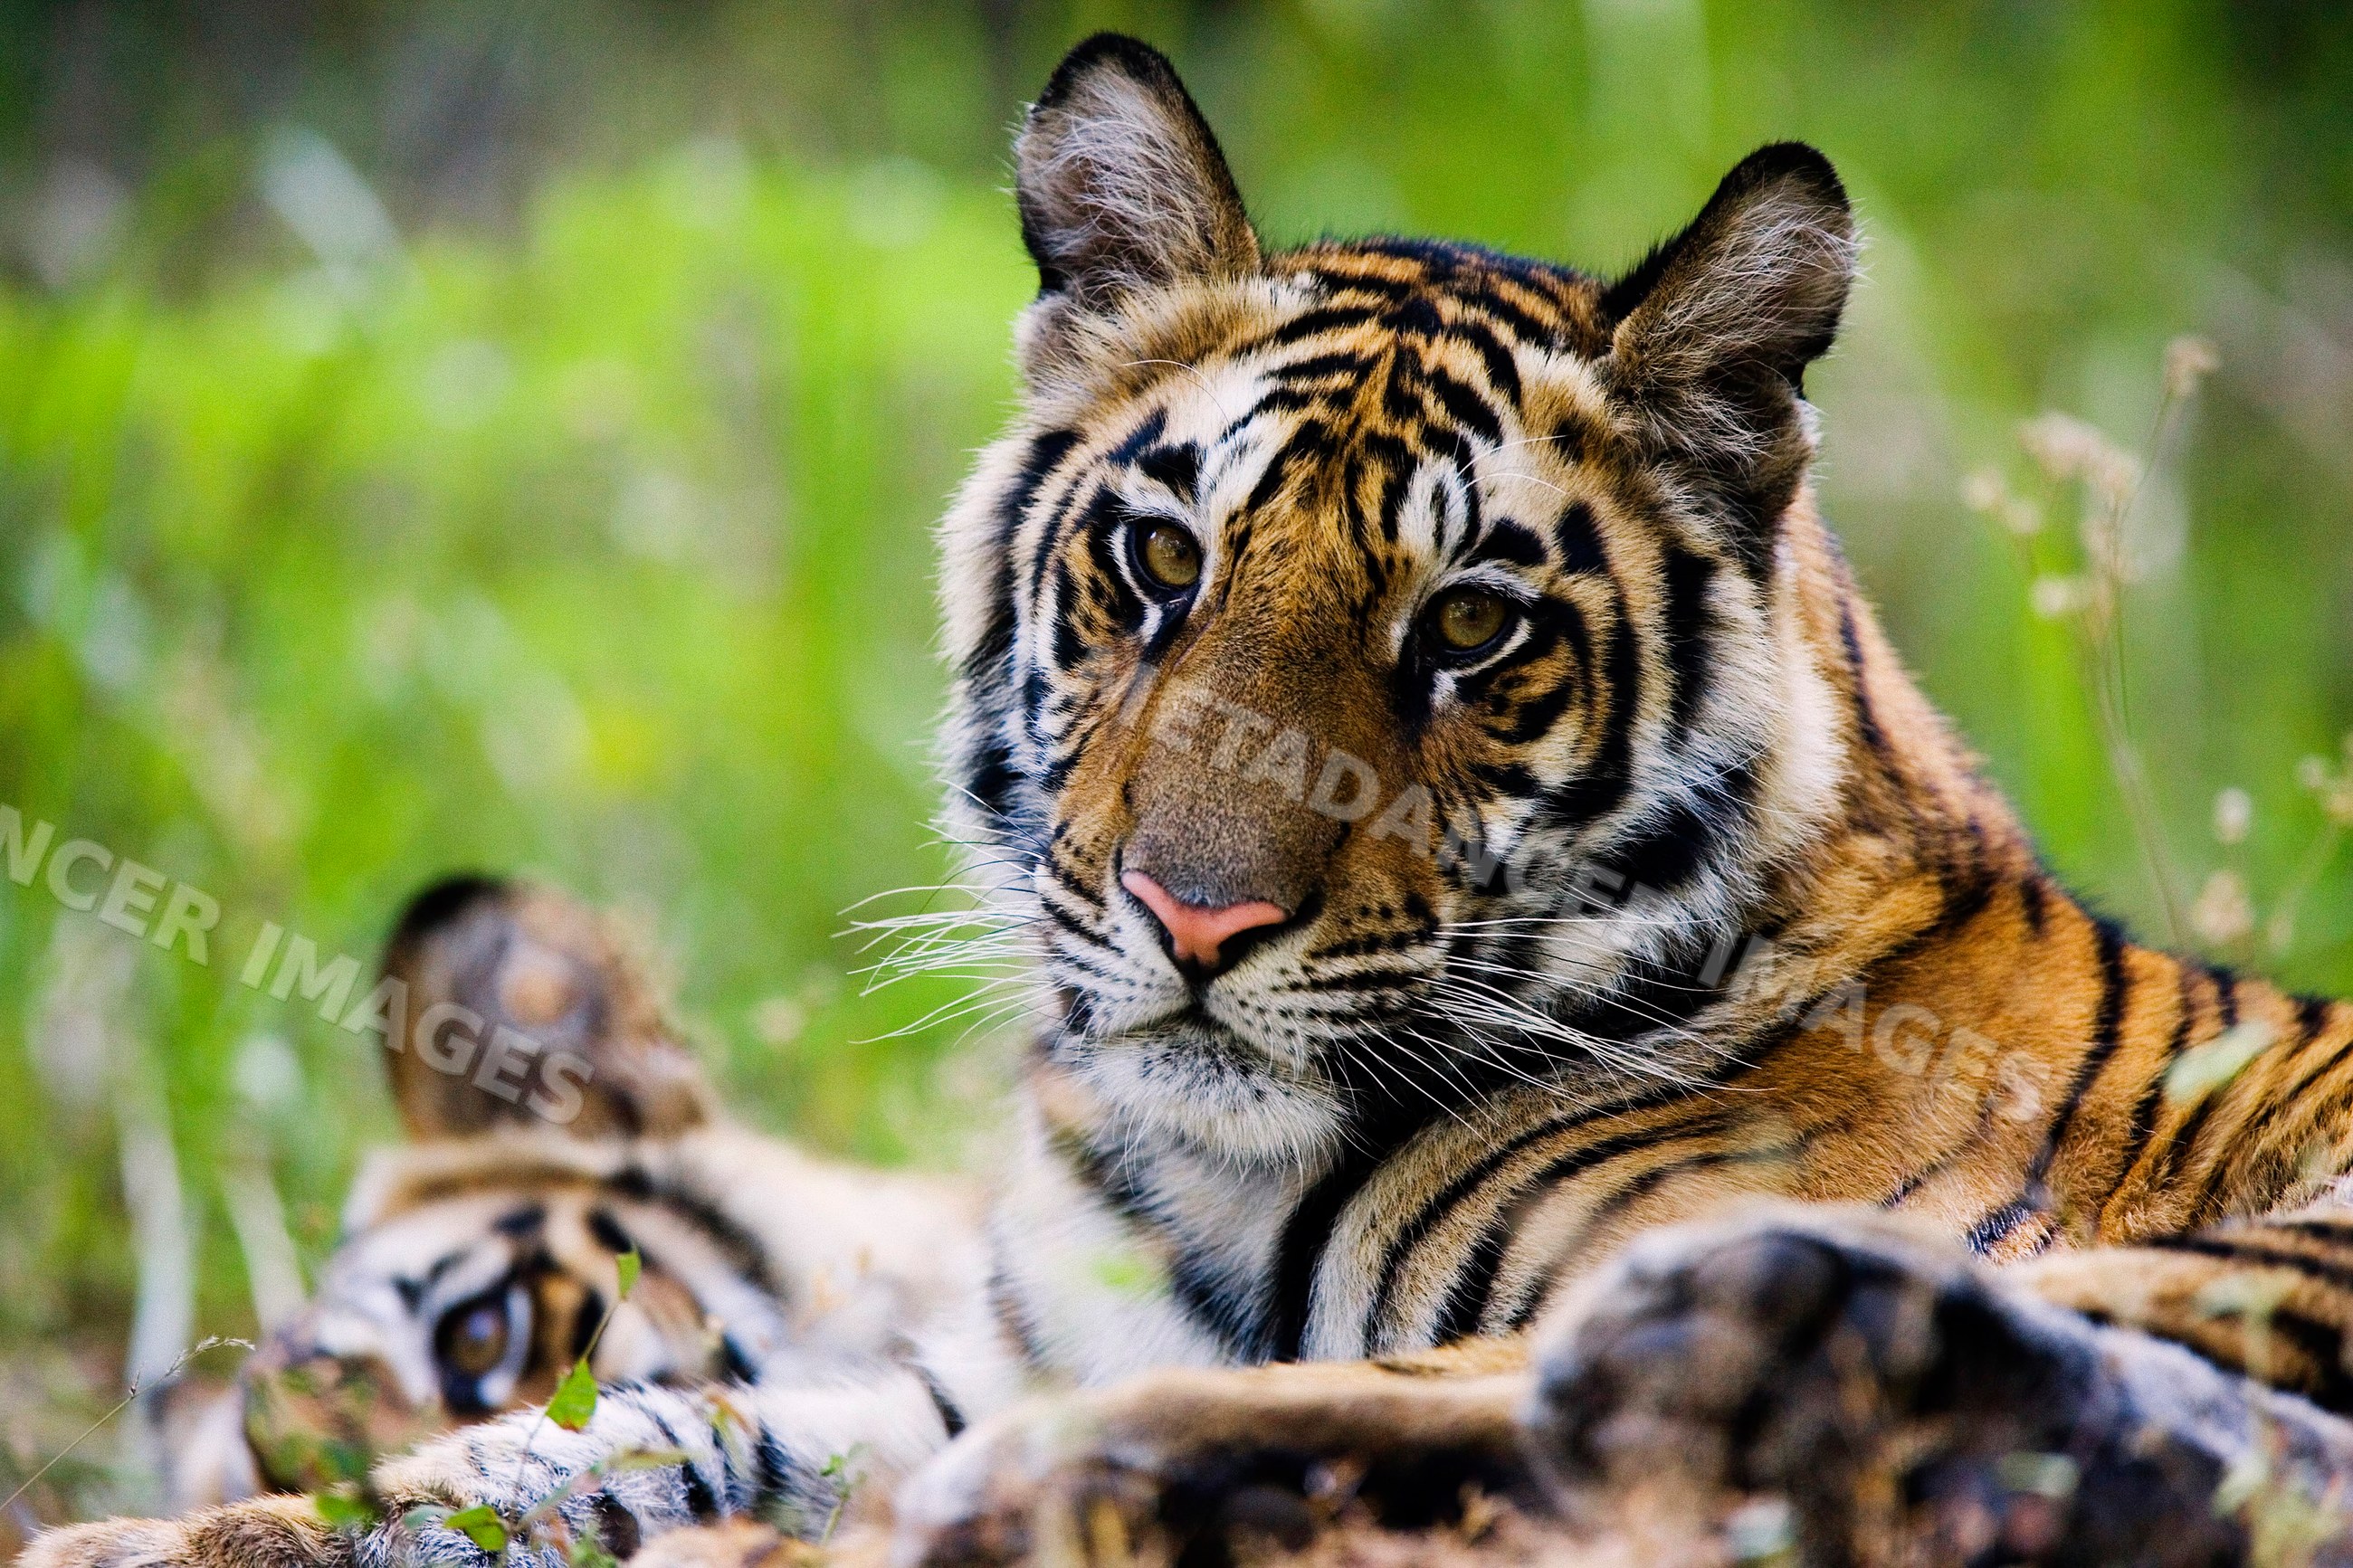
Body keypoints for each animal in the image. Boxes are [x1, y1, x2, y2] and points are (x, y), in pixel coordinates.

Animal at [32, 30, 2353, 1568]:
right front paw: (184, 1523)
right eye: (1159, 561)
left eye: (1469, 629)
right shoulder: (978, 1342)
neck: (1210, 1180)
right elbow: (650, 1432)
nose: (1195, 921)